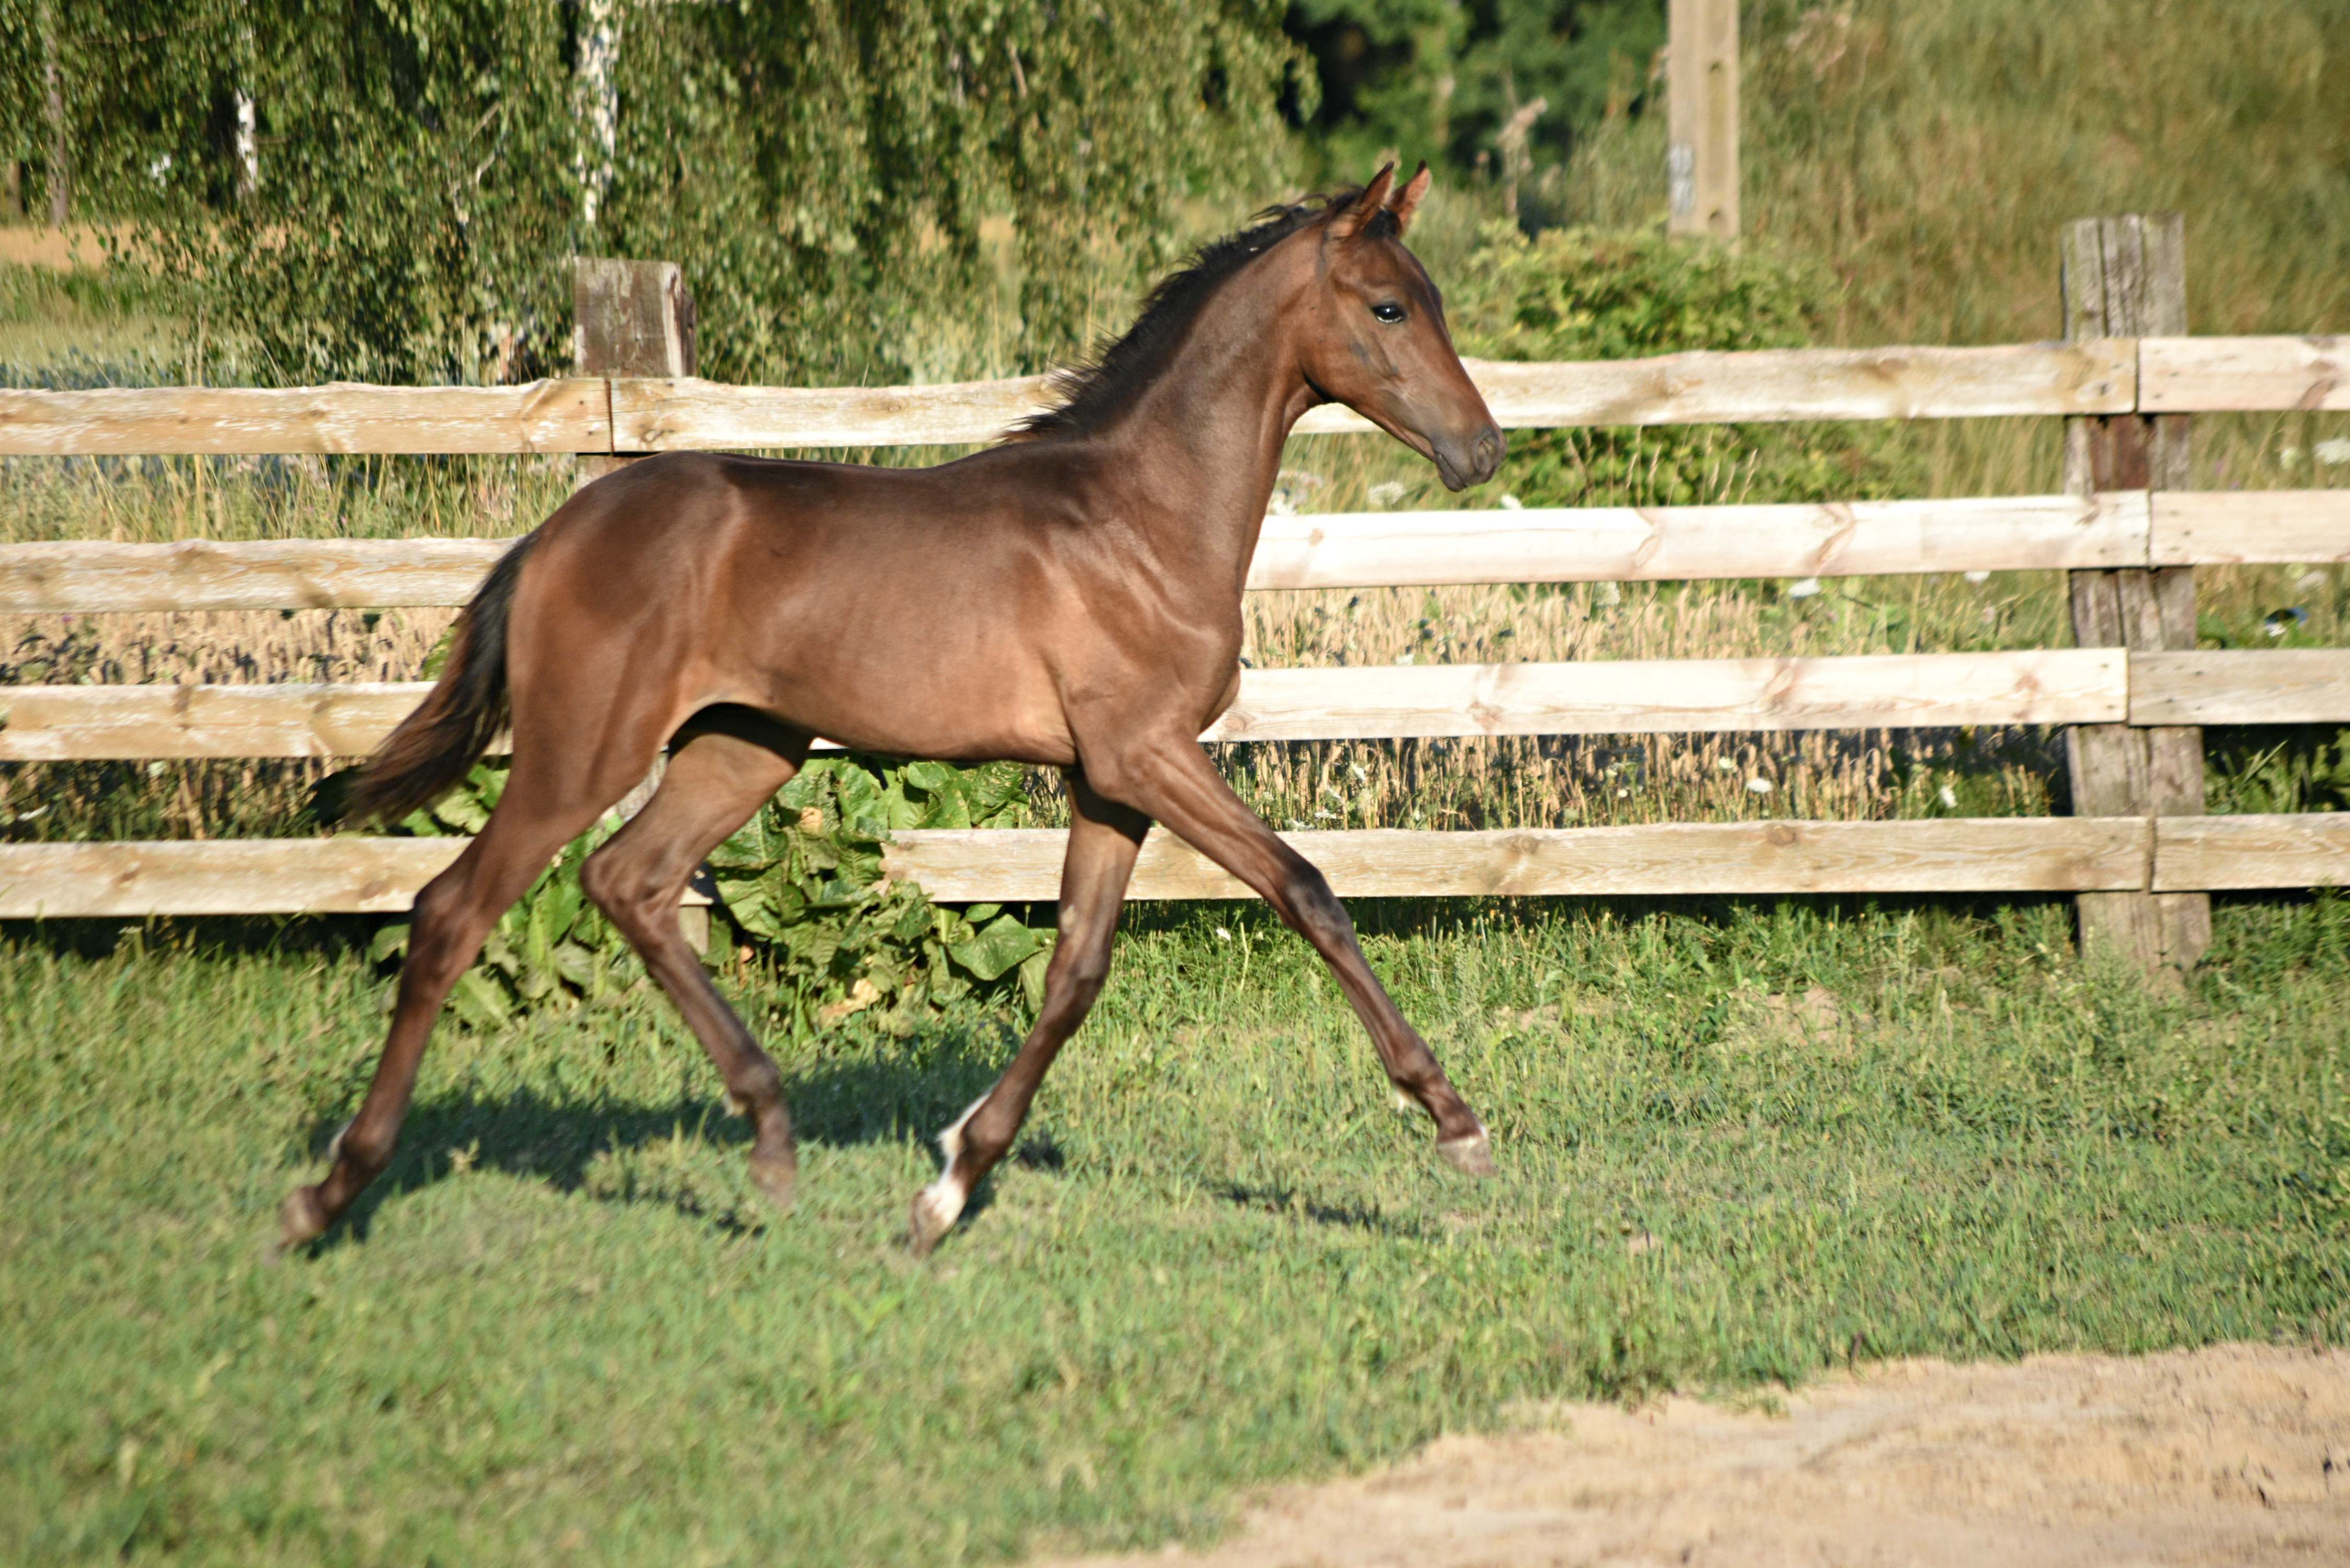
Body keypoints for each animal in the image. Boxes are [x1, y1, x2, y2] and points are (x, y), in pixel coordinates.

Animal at [279, 163, 1506, 1257]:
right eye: (1388, 306)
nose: (1481, 448)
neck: (1138, 517)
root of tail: (550, 538)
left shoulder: (1109, 780)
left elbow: (1075, 973)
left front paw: (949, 1188)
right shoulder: (1146, 755)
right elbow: (1308, 891)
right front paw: (1455, 1123)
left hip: (743, 750)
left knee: (629, 881)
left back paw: (772, 1140)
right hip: (583, 751)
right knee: (453, 913)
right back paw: (330, 1193)